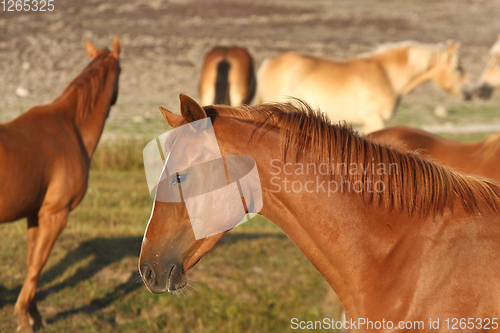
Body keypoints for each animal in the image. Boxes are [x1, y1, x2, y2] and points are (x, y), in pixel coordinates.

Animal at [0, 37, 121, 330]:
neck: (70, 127)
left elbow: (32, 262)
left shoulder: (35, 214)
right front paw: (24, 319)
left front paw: (34, 315)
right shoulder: (56, 214)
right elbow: (38, 264)